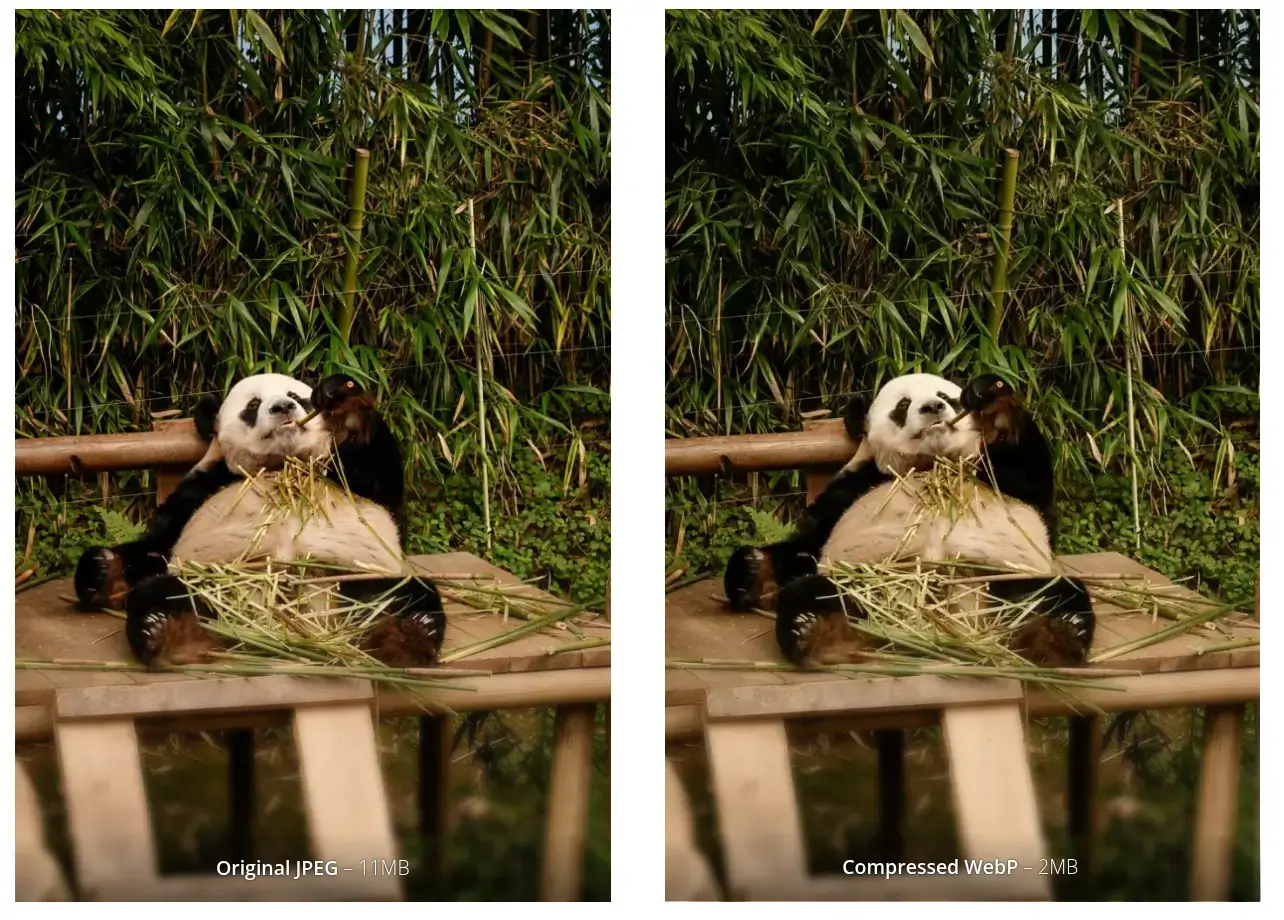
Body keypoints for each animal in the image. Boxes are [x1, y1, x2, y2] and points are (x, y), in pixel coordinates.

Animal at [72, 372, 447, 669]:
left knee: (406, 595)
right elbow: (156, 545)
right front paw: (102, 571)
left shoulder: (359, 483)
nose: (282, 407)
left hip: (354, 579)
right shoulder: (206, 485)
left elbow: (383, 477)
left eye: (297, 395)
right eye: (253, 405)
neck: (281, 464)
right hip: (213, 583)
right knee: (163, 595)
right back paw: (169, 634)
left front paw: (344, 404)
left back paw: (410, 635)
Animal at [723, 372, 1095, 669]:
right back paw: (816, 633)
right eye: (903, 405)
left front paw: (992, 400)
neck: (930, 464)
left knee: (1057, 595)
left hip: (1004, 578)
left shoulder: (1004, 481)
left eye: (947, 396)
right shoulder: (856, 484)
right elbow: (806, 544)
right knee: (812, 594)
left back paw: (1059, 636)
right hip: (863, 582)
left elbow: (1031, 475)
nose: (932, 407)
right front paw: (753, 571)